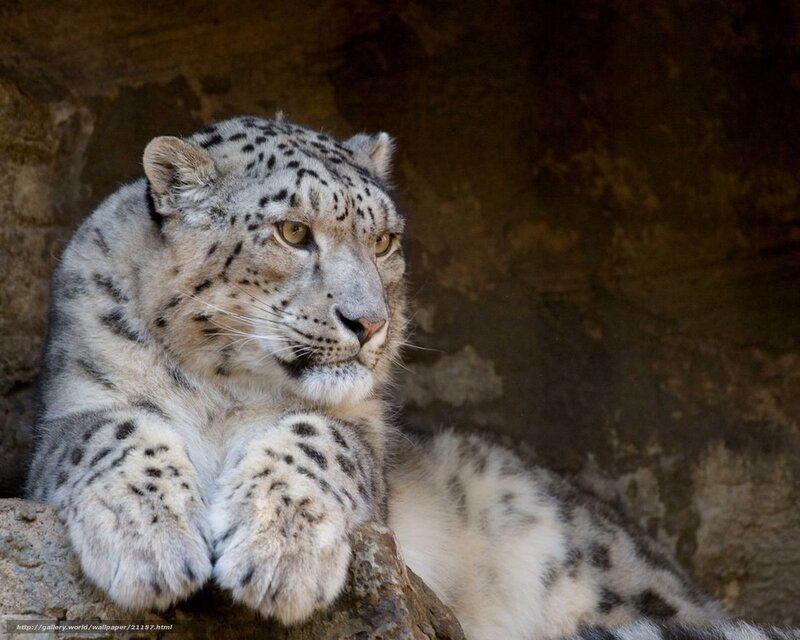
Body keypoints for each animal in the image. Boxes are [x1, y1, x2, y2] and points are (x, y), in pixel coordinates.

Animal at [25, 115, 799, 640]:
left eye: (384, 240)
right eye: (293, 232)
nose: (368, 322)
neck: (224, 393)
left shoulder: (360, 437)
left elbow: (314, 436)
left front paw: (279, 560)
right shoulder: (67, 415)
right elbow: (114, 430)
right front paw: (148, 542)